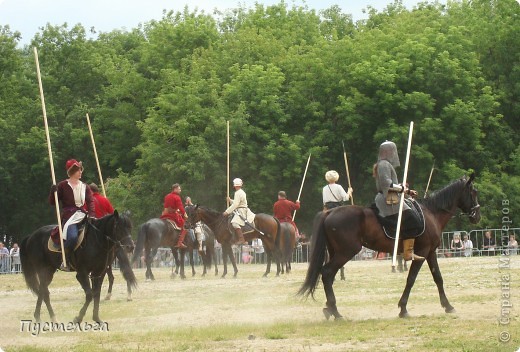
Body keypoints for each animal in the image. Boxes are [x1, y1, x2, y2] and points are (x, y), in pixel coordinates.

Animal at [298, 175, 482, 320]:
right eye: (473, 193)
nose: (477, 216)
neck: (432, 213)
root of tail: (329, 213)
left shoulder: (430, 253)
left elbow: (438, 278)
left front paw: (448, 306)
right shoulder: (422, 253)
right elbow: (411, 279)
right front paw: (403, 309)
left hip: (336, 252)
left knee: (328, 275)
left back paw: (329, 308)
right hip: (346, 252)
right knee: (327, 273)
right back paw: (336, 312)